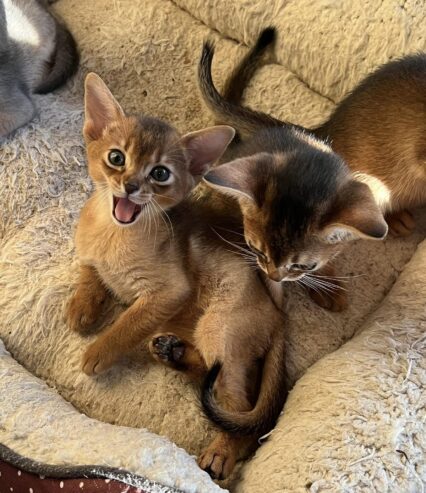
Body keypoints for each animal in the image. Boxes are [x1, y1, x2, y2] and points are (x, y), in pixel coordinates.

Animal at [66, 74, 286, 480]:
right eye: (116, 158)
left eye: (160, 173)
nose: (131, 186)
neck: (113, 235)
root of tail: (279, 316)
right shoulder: (89, 253)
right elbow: (90, 272)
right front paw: (81, 308)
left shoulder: (166, 292)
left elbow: (126, 324)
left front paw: (98, 352)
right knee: (207, 373)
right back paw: (172, 353)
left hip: (219, 328)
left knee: (241, 412)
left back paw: (223, 452)